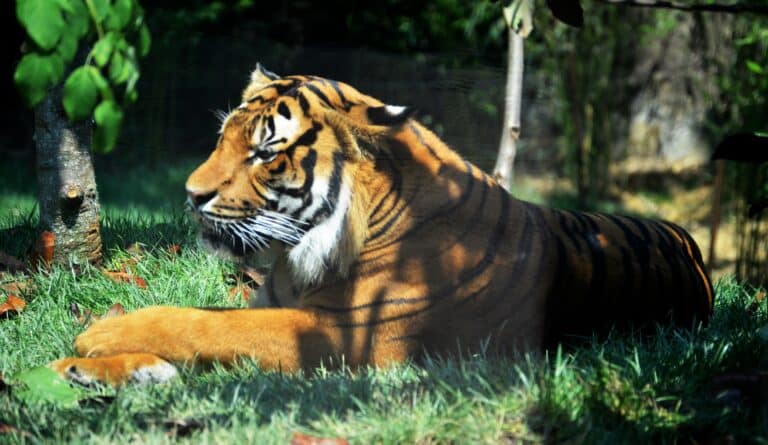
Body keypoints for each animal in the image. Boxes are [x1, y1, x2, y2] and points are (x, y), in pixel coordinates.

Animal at [50, 64, 714, 385]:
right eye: (224, 138)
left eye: (264, 152)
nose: (191, 195)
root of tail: (693, 245)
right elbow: (211, 326)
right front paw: (78, 368)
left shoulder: (341, 336)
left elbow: (206, 325)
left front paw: (99, 336)